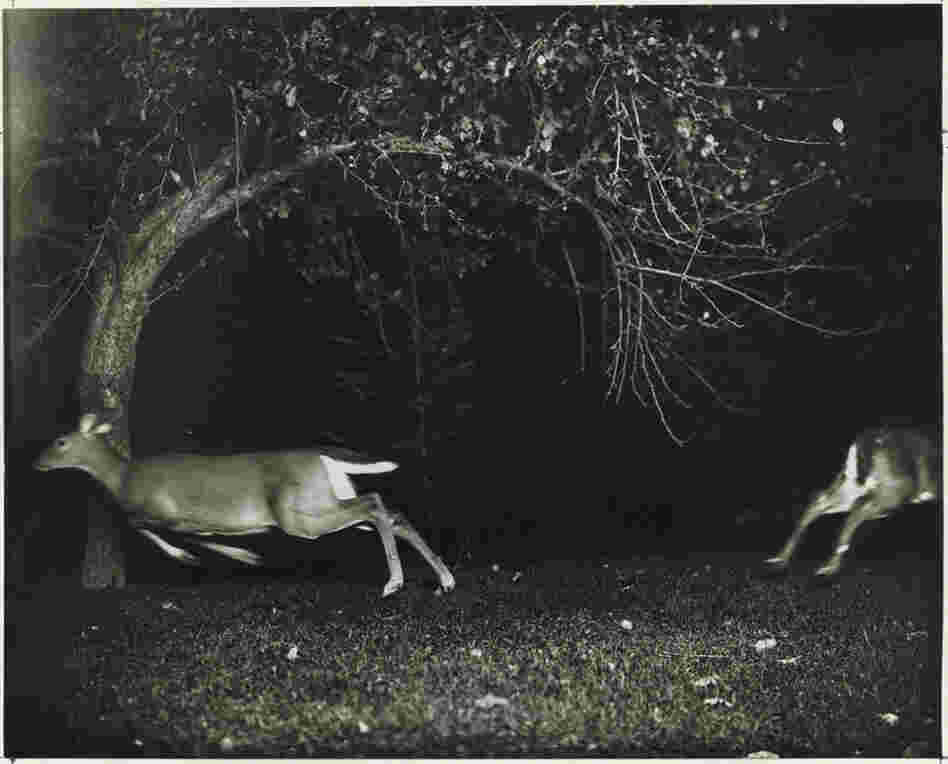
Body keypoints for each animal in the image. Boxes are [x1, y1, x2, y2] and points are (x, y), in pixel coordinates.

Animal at [34, 411, 456, 597]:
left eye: (60, 441)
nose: (37, 462)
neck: (121, 478)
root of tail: (326, 459)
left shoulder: (165, 513)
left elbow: (152, 530)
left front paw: (204, 556)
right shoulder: (185, 519)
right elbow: (199, 536)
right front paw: (243, 555)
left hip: (298, 515)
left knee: (375, 503)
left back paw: (395, 582)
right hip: (324, 500)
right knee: (390, 510)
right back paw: (445, 578)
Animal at [764, 427, 941, 577]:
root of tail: (863, 446)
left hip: (850, 487)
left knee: (818, 503)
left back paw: (779, 561)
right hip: (892, 492)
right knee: (856, 512)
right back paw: (827, 568)